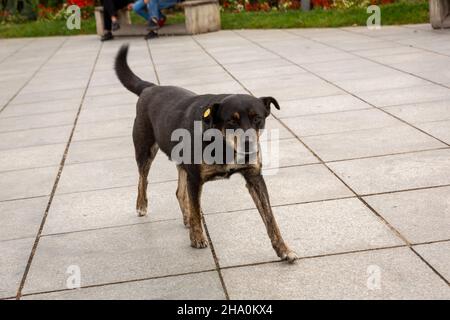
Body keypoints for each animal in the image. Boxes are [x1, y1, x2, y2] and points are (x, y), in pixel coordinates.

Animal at [116, 44, 298, 262]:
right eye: (231, 121)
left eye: (258, 119)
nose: (249, 145)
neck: (224, 145)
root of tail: (150, 87)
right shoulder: (195, 179)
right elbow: (196, 209)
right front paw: (197, 237)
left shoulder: (254, 177)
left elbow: (270, 217)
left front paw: (283, 249)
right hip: (145, 148)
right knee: (143, 179)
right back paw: (142, 205)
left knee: (179, 191)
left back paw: (185, 217)